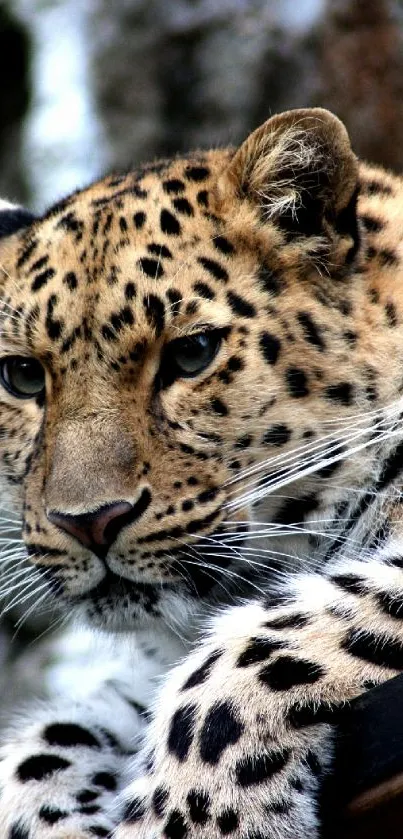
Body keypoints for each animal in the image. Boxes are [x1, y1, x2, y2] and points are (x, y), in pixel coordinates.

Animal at [0, 106, 403, 839]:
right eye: (21, 375)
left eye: (192, 355)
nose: (88, 522)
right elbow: (45, 744)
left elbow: (247, 656)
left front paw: (191, 820)